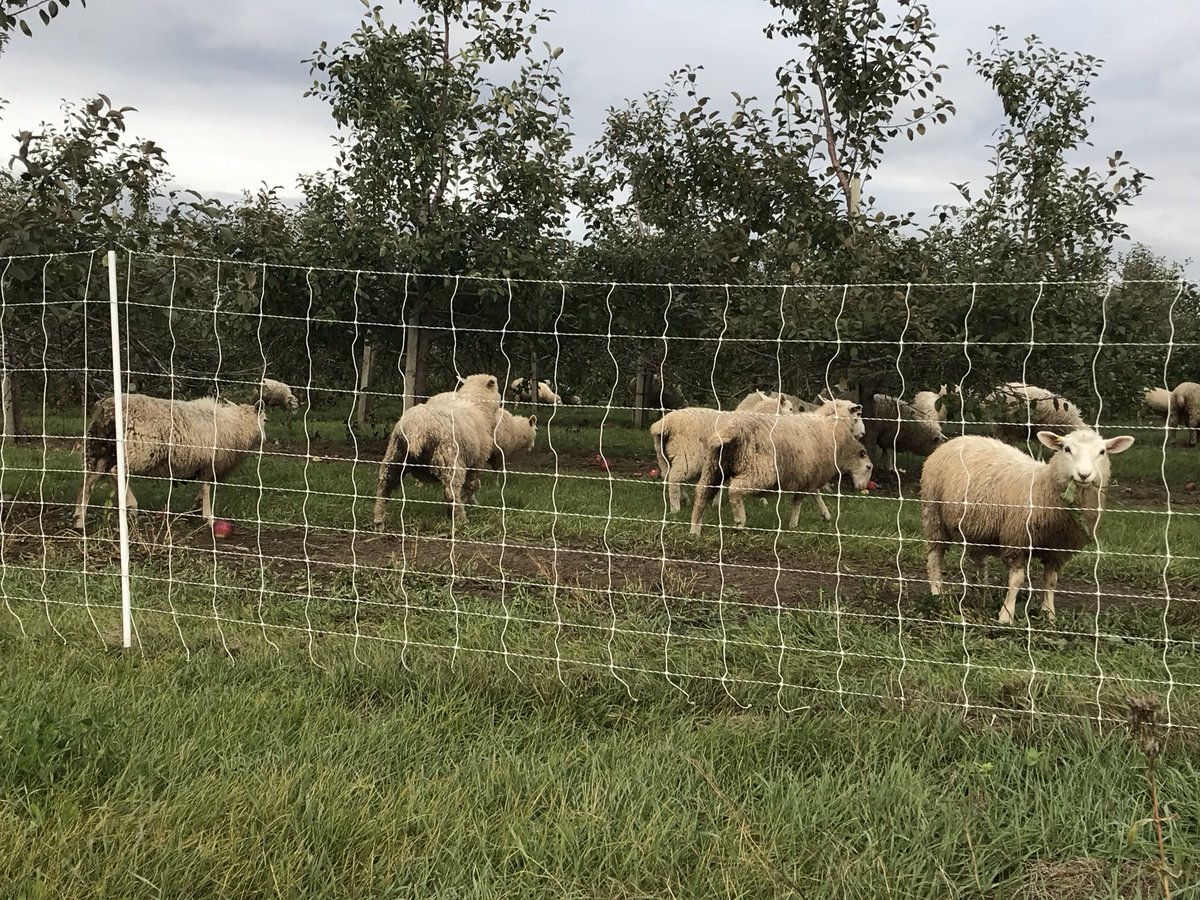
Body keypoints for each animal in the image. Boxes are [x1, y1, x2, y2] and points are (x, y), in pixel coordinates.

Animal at [72, 379, 300, 528]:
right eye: (265, 420)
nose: (266, 440)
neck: (235, 425)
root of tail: (106, 408)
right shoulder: (210, 462)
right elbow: (207, 488)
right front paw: (208, 517)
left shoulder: (204, 464)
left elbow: (202, 489)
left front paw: (196, 508)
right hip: (138, 450)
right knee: (115, 472)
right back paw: (130, 504)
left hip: (99, 449)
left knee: (89, 481)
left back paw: (79, 519)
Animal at [374, 374, 502, 526]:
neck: (476, 405)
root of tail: (417, 429)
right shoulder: (476, 461)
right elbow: (474, 485)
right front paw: (465, 501)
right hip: (449, 460)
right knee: (451, 492)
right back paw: (461, 519)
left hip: (394, 457)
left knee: (384, 487)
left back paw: (378, 520)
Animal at [650, 394, 795, 514]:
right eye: (791, 408)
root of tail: (664, 424)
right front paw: (763, 501)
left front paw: (716, 503)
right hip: (687, 453)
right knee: (674, 478)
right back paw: (675, 508)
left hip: (663, 454)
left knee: (668, 475)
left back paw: (684, 499)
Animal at [689, 408, 873, 534]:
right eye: (868, 467)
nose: (862, 487)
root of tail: (733, 430)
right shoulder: (807, 475)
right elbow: (799, 500)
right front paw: (794, 525)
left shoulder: (808, 475)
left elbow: (815, 494)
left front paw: (825, 515)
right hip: (759, 469)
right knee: (735, 490)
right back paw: (739, 521)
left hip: (714, 466)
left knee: (702, 492)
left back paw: (695, 529)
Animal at [921, 427, 1135, 624]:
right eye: (1066, 449)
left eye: (1102, 452)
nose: (1084, 475)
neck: (1043, 488)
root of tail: (957, 439)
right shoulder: (1018, 539)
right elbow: (1016, 580)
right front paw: (1006, 615)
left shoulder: (1058, 549)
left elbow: (1051, 581)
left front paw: (1049, 614)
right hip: (934, 515)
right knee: (935, 557)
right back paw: (937, 594)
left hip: (978, 526)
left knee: (978, 559)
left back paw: (983, 593)